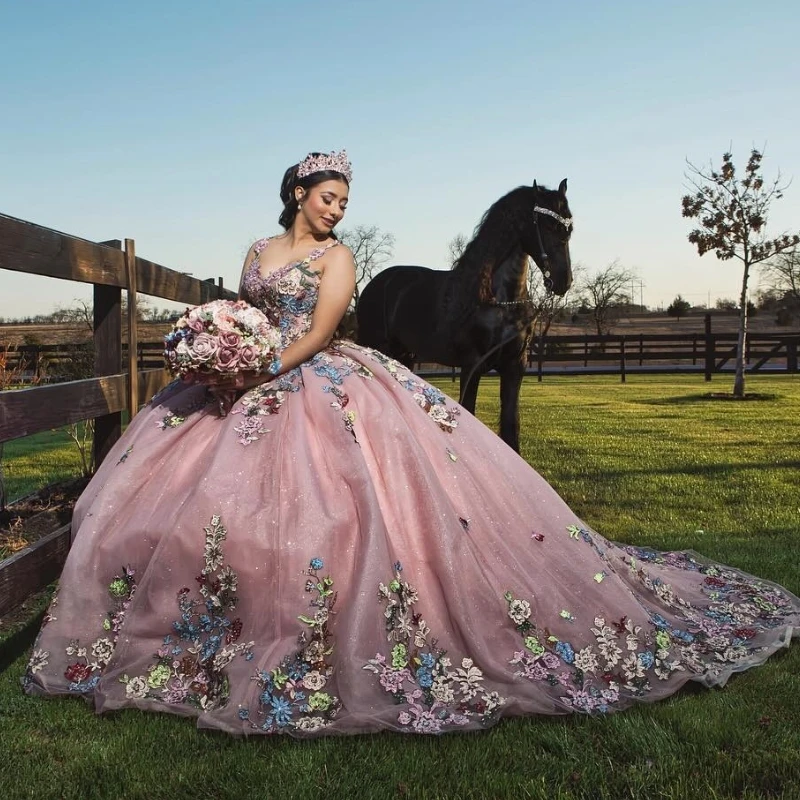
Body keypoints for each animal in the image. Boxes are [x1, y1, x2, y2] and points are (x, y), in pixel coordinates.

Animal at [358, 181, 576, 454]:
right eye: (547, 225)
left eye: (569, 228)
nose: (563, 281)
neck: (499, 302)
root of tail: (375, 284)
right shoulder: (472, 365)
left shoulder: (515, 366)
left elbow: (511, 426)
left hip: (403, 356)